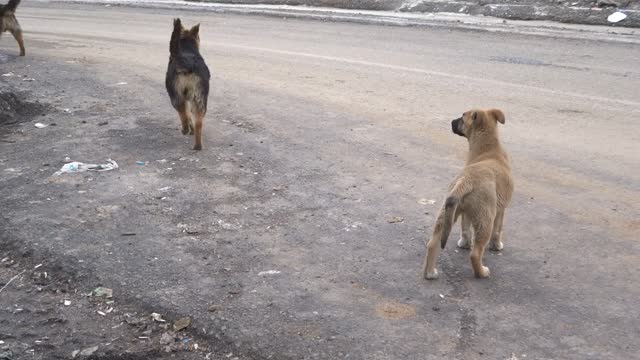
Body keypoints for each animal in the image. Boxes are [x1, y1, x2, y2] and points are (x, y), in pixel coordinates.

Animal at [166, 17, 211, 150]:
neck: (187, 49)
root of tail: (187, 62)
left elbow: (186, 114)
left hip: (176, 96)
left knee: (183, 114)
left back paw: (185, 130)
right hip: (200, 99)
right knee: (198, 123)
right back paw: (197, 145)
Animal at [424, 108, 516, 280]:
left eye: (461, 118)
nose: (451, 122)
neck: (488, 149)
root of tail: (466, 181)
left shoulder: (465, 213)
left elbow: (465, 229)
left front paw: (464, 243)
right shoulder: (501, 210)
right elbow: (498, 230)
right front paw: (497, 245)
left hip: (447, 213)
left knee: (432, 243)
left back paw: (430, 273)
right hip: (485, 219)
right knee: (475, 253)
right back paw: (482, 272)